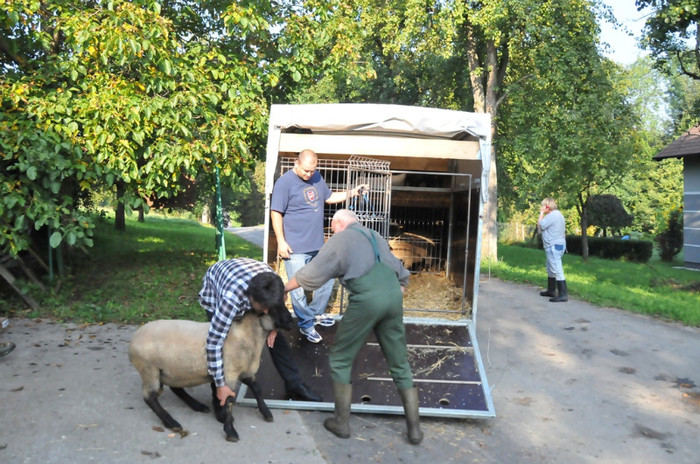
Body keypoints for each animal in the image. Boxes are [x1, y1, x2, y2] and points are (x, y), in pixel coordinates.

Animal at [129, 310, 288, 440]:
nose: (291, 322)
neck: (247, 334)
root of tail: (132, 342)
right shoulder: (230, 372)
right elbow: (230, 399)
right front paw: (230, 430)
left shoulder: (244, 371)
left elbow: (257, 387)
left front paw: (267, 413)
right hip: (150, 370)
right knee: (149, 397)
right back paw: (171, 422)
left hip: (172, 370)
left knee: (175, 388)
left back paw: (197, 406)